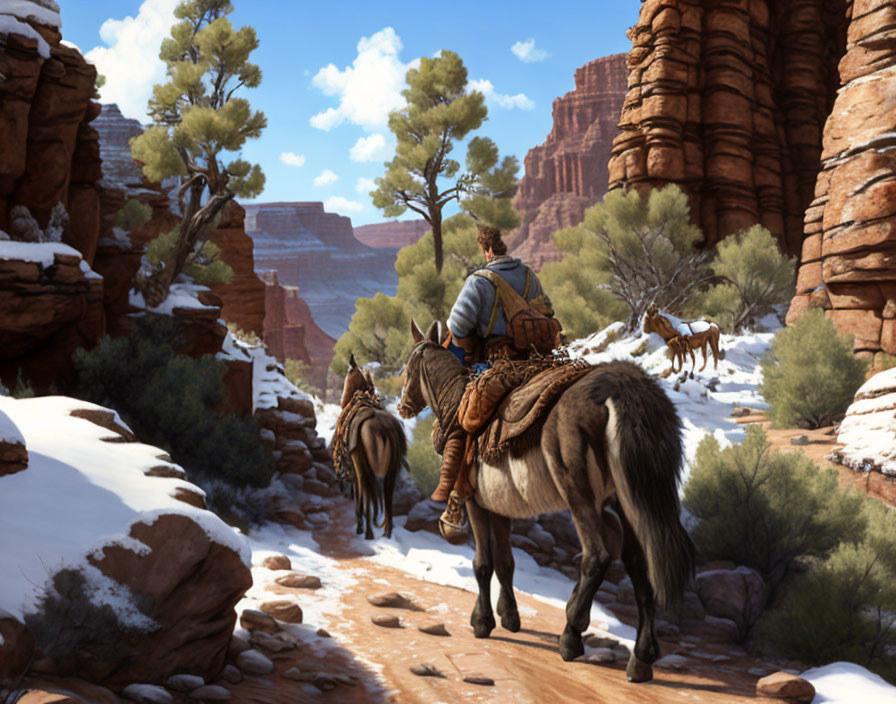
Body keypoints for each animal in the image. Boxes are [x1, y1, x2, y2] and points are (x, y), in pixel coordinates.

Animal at [336, 354, 406, 540]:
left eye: (348, 373)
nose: (342, 399)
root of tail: (384, 428)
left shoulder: (355, 466)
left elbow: (359, 494)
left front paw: (360, 524)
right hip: (391, 469)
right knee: (388, 496)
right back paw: (387, 531)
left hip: (364, 466)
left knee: (368, 491)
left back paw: (367, 531)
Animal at [400, 320, 700, 680]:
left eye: (407, 369)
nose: (403, 407)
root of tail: (624, 387)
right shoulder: (499, 508)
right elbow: (506, 562)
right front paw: (509, 617)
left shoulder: (475, 503)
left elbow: (483, 563)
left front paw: (482, 622)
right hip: (630, 502)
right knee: (641, 566)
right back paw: (640, 659)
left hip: (579, 495)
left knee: (597, 557)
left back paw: (571, 635)